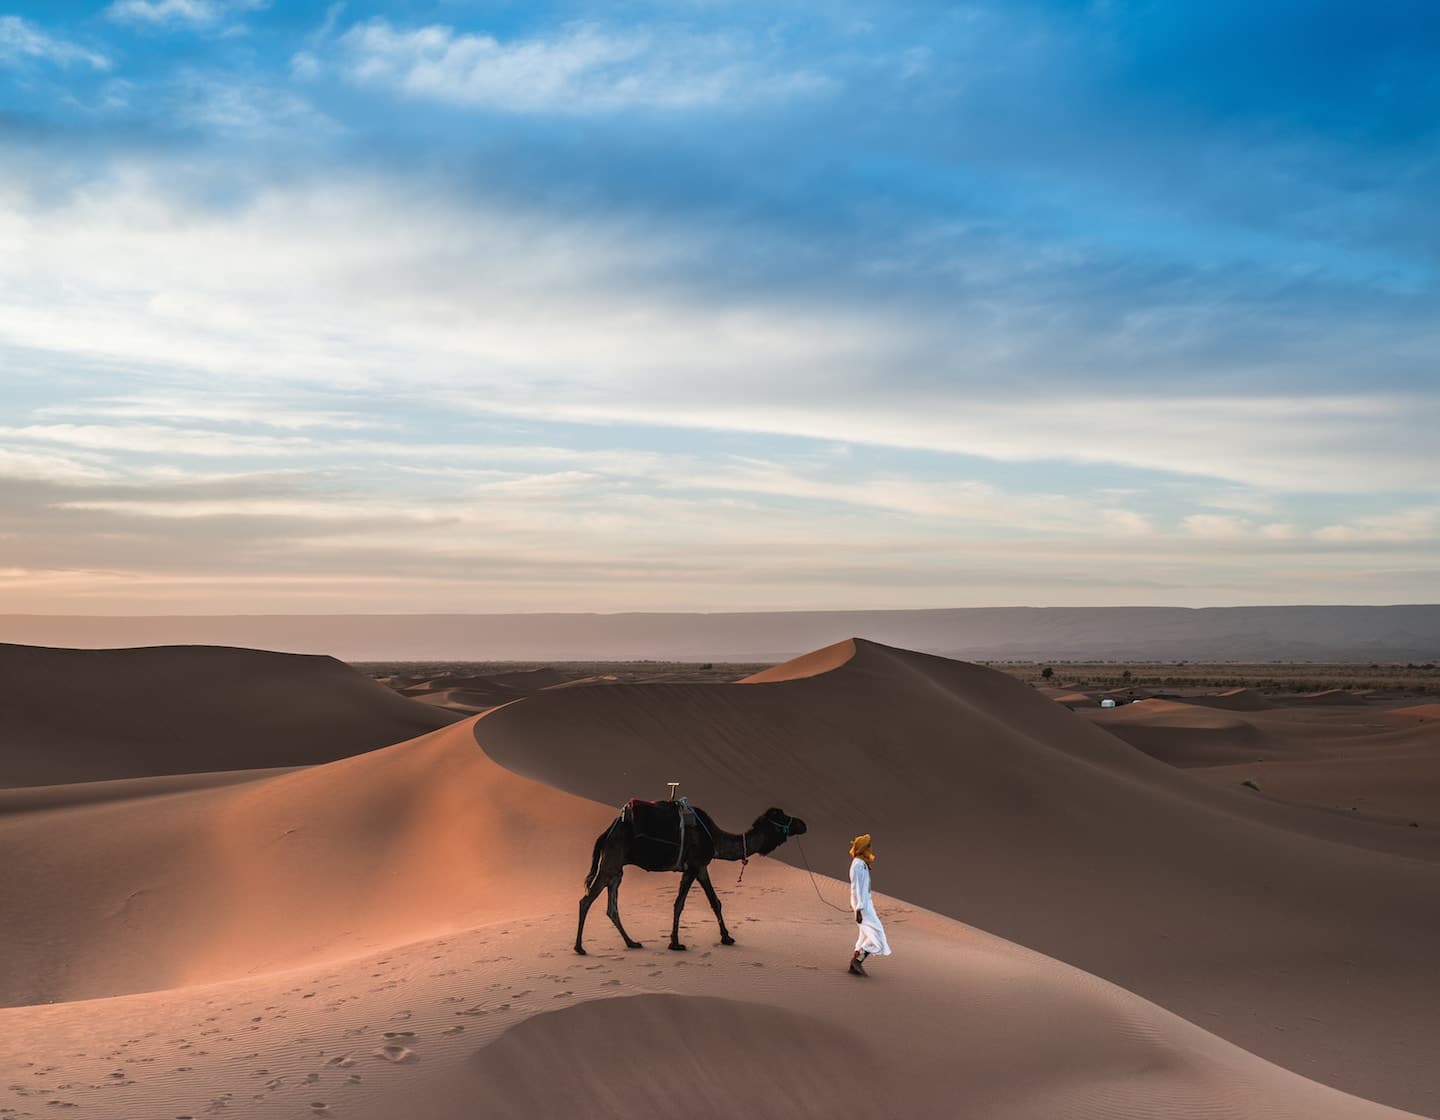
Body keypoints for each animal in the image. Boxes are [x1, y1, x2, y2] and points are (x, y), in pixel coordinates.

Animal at [573, 800, 806, 950]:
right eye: (782, 816)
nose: (802, 824)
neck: (714, 839)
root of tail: (606, 832)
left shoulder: (698, 868)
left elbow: (711, 902)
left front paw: (723, 937)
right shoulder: (696, 865)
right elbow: (685, 903)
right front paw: (678, 943)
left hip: (616, 870)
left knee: (612, 907)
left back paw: (632, 942)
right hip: (611, 862)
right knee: (586, 900)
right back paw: (579, 948)